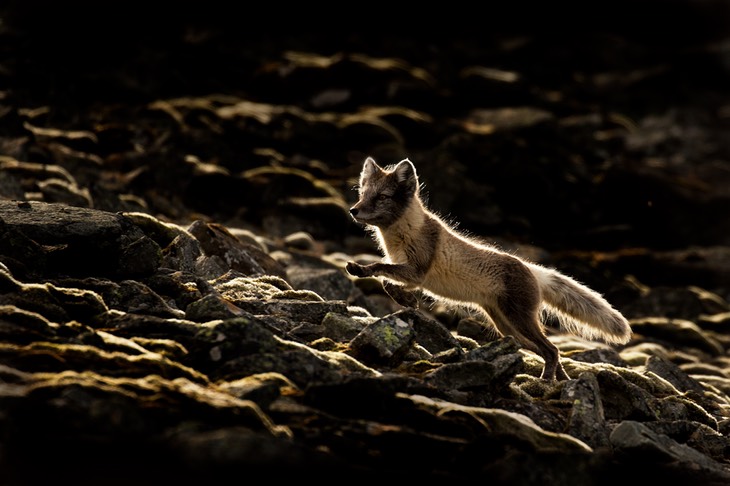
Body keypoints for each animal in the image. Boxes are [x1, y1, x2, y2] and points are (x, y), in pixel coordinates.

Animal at [344, 158, 628, 382]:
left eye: (382, 197)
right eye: (362, 192)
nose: (353, 210)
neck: (404, 233)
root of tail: (532, 269)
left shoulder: (417, 271)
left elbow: (380, 268)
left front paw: (362, 270)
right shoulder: (410, 274)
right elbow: (386, 281)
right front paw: (406, 300)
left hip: (519, 320)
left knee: (552, 350)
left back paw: (546, 381)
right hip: (507, 327)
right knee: (546, 351)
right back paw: (562, 382)